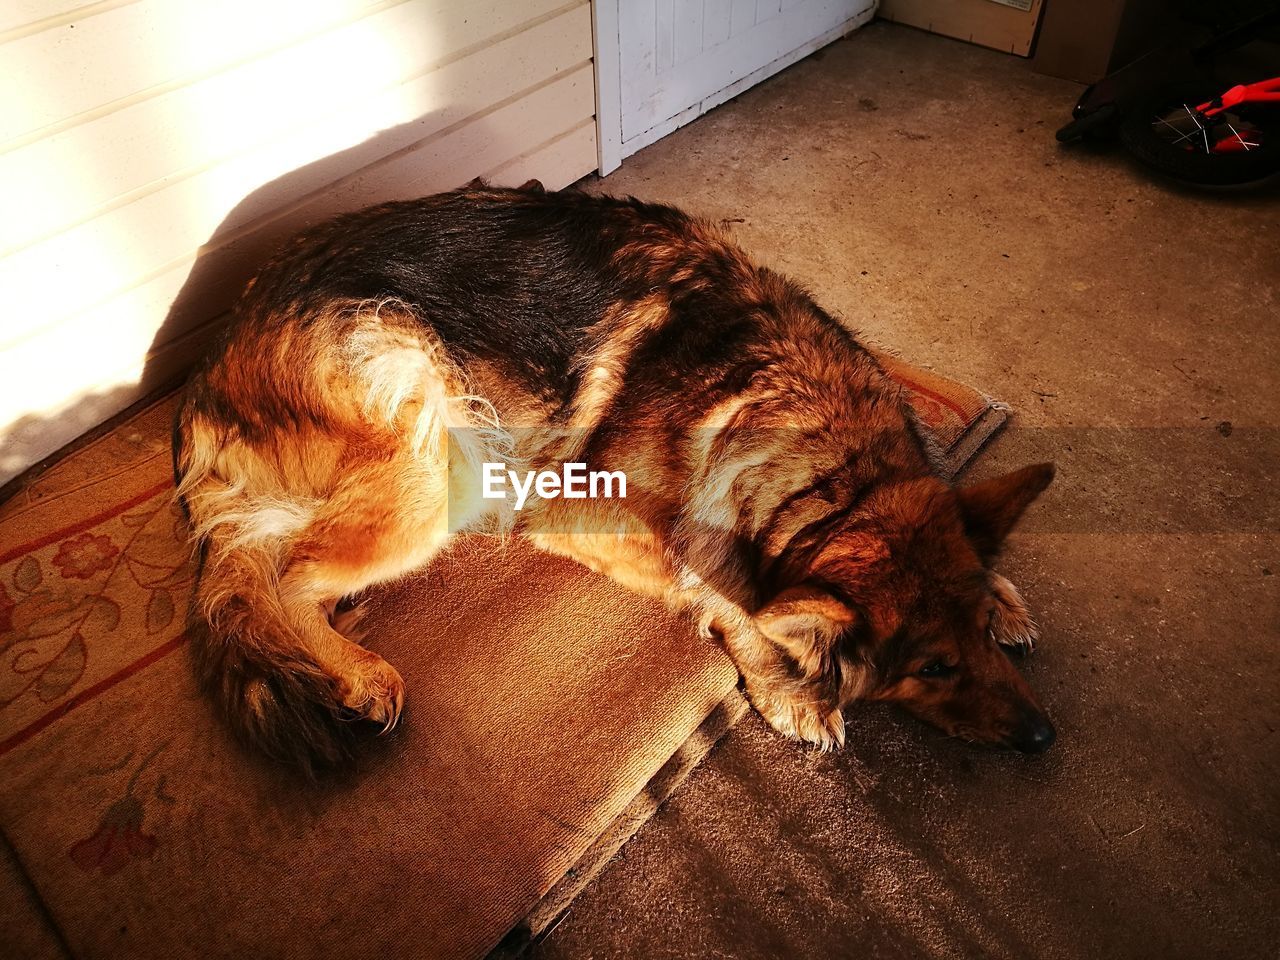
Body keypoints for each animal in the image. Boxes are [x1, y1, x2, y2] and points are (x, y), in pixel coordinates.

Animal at [170, 185, 1054, 773]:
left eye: (976, 633)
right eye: (932, 668)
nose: (1046, 738)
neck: (830, 463)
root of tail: (207, 373)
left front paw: (1007, 594)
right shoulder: (578, 516)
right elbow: (723, 590)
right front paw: (789, 681)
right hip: (440, 440)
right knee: (289, 581)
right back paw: (359, 671)